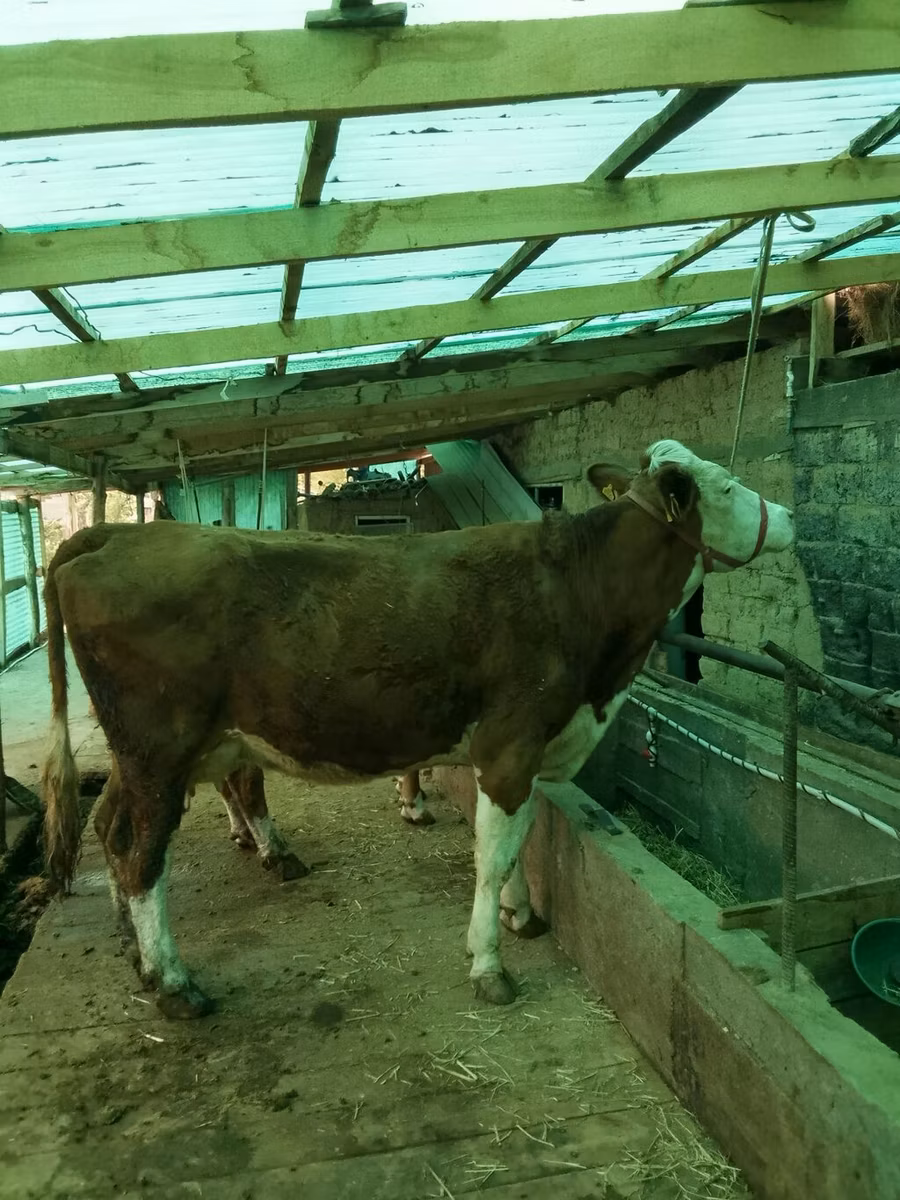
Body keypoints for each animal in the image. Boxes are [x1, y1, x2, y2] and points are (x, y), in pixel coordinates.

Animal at [42, 440, 793, 1019]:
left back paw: (135, 951)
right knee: (140, 855)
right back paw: (174, 983)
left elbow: (518, 846)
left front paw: (521, 916)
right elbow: (493, 857)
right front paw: (489, 963)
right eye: (728, 485)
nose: (787, 515)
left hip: (141, 754)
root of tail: (113, 534)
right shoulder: (509, 746)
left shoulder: (528, 753)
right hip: (161, 749)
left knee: (110, 828)